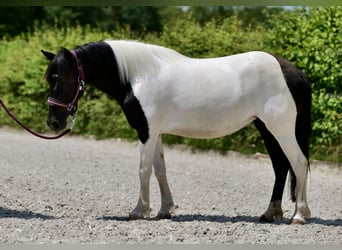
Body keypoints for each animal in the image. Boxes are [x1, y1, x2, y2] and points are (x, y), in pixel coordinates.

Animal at [41, 40, 312, 225]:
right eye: (49, 79)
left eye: (62, 78)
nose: (53, 122)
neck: (139, 77)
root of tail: (293, 71)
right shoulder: (156, 133)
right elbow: (160, 171)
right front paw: (164, 210)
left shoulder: (146, 132)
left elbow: (144, 170)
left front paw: (139, 211)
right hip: (266, 128)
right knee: (280, 166)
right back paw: (270, 213)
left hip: (281, 129)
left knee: (298, 163)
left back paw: (299, 215)